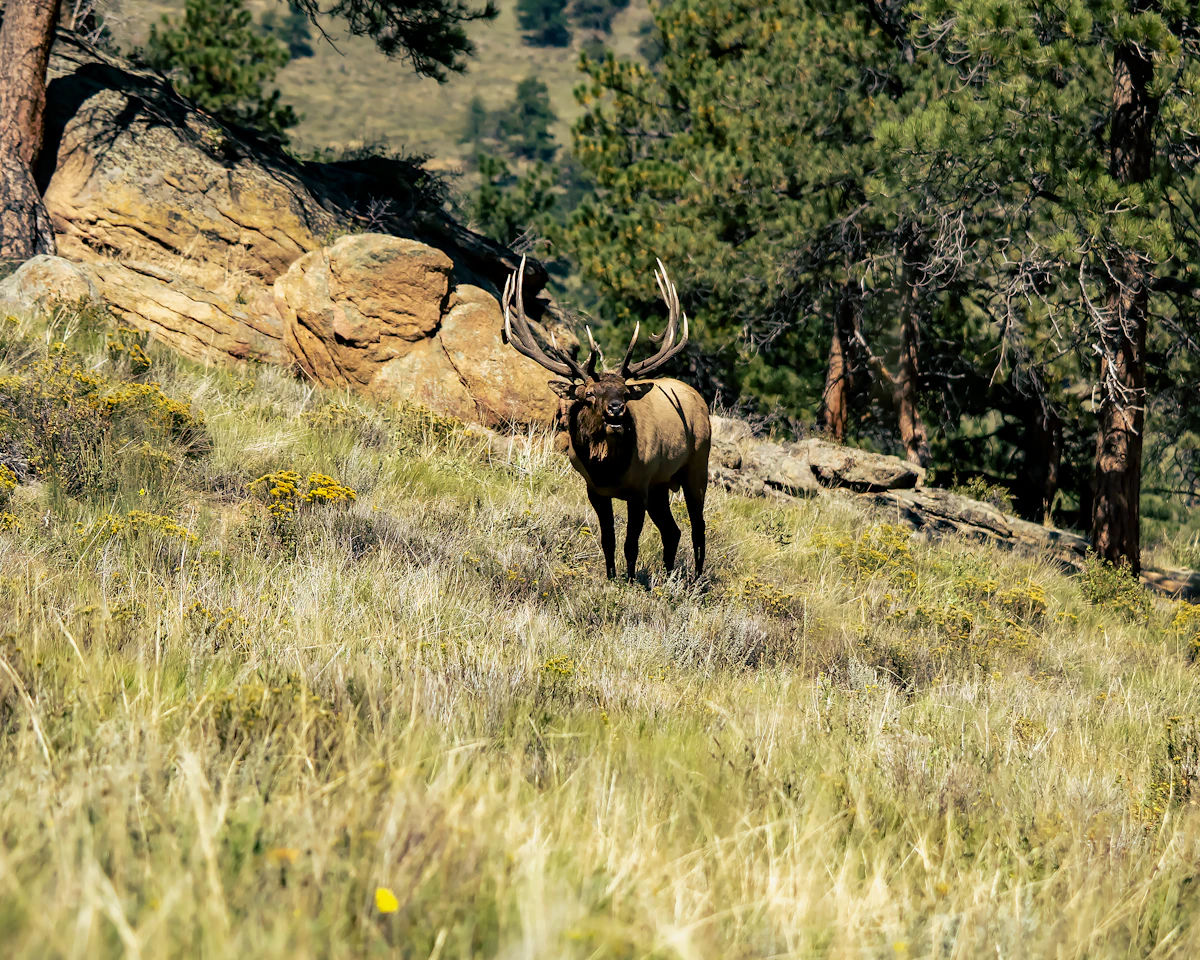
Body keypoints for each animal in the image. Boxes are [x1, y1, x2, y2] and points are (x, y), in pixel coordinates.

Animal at [503, 257, 711, 580]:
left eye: (624, 392)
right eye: (589, 393)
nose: (616, 410)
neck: (609, 470)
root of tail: (697, 396)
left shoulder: (639, 488)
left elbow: (630, 543)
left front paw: (630, 581)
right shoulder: (596, 491)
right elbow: (608, 540)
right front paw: (612, 577)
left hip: (697, 465)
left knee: (698, 527)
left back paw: (696, 579)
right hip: (661, 484)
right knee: (673, 531)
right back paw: (667, 575)